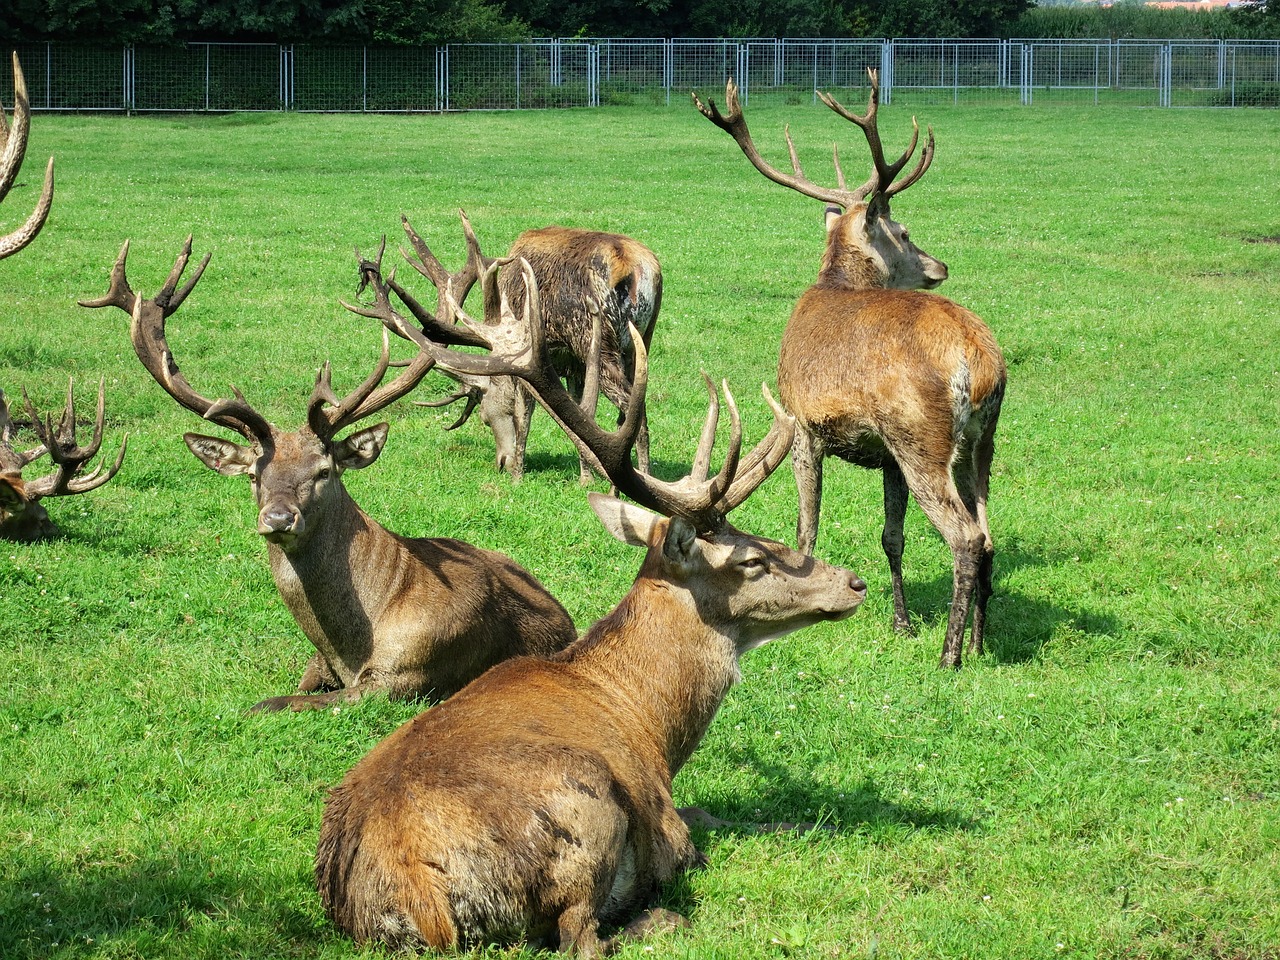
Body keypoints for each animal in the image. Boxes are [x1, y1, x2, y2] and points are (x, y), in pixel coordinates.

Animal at [80, 236, 576, 711]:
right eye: (254, 476)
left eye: (323, 471)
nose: (278, 518)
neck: (349, 648)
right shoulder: (318, 662)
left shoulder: (405, 674)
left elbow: (276, 703)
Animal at [314, 256, 865, 957]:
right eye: (750, 560)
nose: (854, 583)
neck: (652, 724)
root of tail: (418, 888)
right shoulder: (662, 817)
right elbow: (710, 824)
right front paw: (796, 825)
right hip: (587, 808)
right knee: (582, 934)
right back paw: (663, 919)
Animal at [389, 209, 660, 481]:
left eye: (484, 417)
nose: (501, 463)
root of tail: (630, 265)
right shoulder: (574, 364)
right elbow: (583, 412)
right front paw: (585, 477)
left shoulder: (528, 352)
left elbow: (524, 413)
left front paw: (518, 475)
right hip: (640, 341)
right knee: (635, 407)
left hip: (597, 339)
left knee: (635, 412)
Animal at [696, 69, 1003, 670]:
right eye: (906, 233)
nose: (939, 266)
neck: (835, 284)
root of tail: (978, 361)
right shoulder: (884, 453)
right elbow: (892, 537)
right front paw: (901, 623)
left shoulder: (801, 424)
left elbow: (806, 524)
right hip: (979, 441)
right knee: (989, 532)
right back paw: (979, 642)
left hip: (920, 433)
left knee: (966, 537)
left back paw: (949, 656)